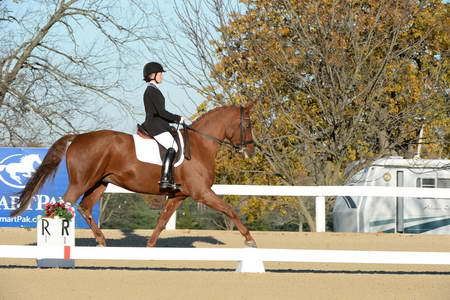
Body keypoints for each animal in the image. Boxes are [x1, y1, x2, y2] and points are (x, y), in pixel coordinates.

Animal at [11, 102, 256, 247]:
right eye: (248, 124)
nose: (251, 151)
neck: (200, 145)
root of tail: (78, 137)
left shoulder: (179, 195)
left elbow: (162, 220)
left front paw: (149, 246)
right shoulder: (202, 192)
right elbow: (230, 211)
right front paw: (250, 240)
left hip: (99, 183)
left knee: (83, 208)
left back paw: (102, 242)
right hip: (81, 183)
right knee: (61, 206)